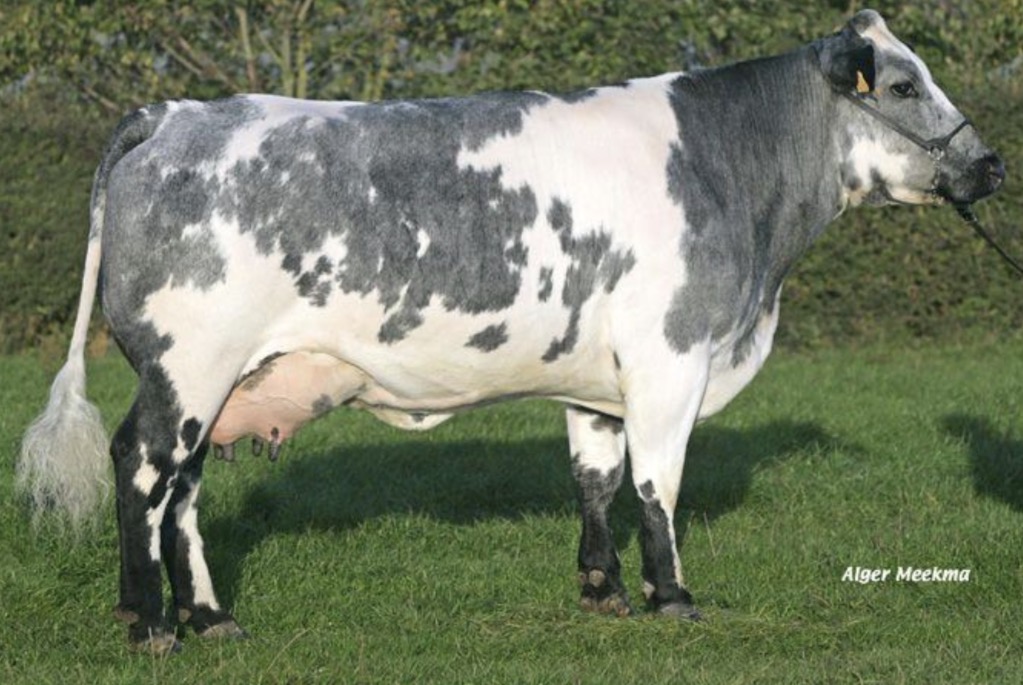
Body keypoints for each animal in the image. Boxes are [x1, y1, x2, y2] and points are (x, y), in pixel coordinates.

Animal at [17, 10, 1004, 654]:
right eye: (903, 83)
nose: (990, 164)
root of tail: (177, 113)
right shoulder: (669, 356)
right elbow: (658, 483)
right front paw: (673, 596)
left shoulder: (600, 378)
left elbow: (595, 476)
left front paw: (603, 589)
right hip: (187, 365)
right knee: (142, 470)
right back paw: (150, 622)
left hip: (216, 379)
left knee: (180, 492)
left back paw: (213, 618)